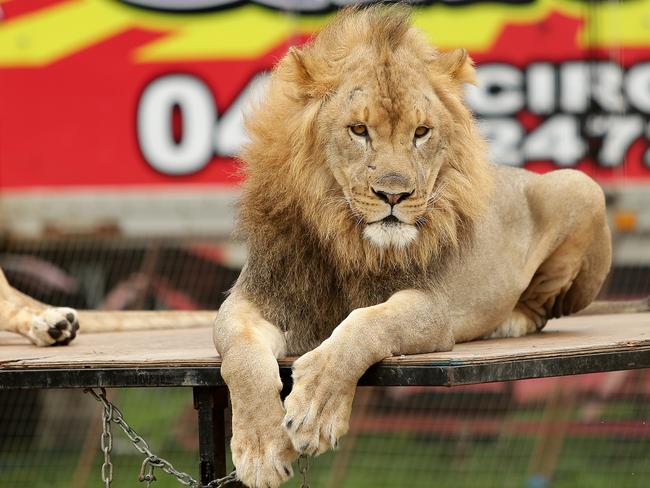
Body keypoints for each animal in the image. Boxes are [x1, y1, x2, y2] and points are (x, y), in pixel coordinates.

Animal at [210, 6, 612, 488]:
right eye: (358, 130)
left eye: (421, 132)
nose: (394, 195)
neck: (345, 236)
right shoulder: (257, 297)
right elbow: (240, 357)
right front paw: (261, 446)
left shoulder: (432, 309)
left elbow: (367, 324)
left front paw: (315, 409)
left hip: (580, 184)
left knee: (541, 308)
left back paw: (508, 322)